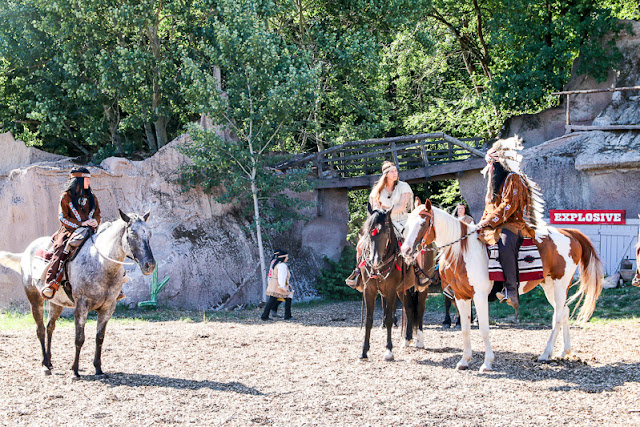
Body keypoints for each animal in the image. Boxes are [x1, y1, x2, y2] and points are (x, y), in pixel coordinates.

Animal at [0, 211, 155, 378]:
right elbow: (79, 338)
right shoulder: (81, 305)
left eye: (149, 234)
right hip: (34, 299)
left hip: (56, 303)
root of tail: (27, 251)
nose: (150, 265)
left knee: (49, 327)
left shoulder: (108, 307)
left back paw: (49, 361)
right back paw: (45, 364)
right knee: (40, 329)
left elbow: (100, 337)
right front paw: (75, 370)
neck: (102, 264)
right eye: (132, 234)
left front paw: (98, 368)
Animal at [402, 200, 604, 372]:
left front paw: (487, 363)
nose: (405, 250)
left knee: (558, 316)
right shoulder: (460, 296)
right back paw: (563, 351)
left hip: (560, 284)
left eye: (423, 223)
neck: (464, 253)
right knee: (565, 311)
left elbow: (483, 329)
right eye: (407, 225)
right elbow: (465, 329)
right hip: (549, 286)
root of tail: (568, 233)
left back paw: (546, 354)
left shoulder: (480, 296)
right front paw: (464, 361)